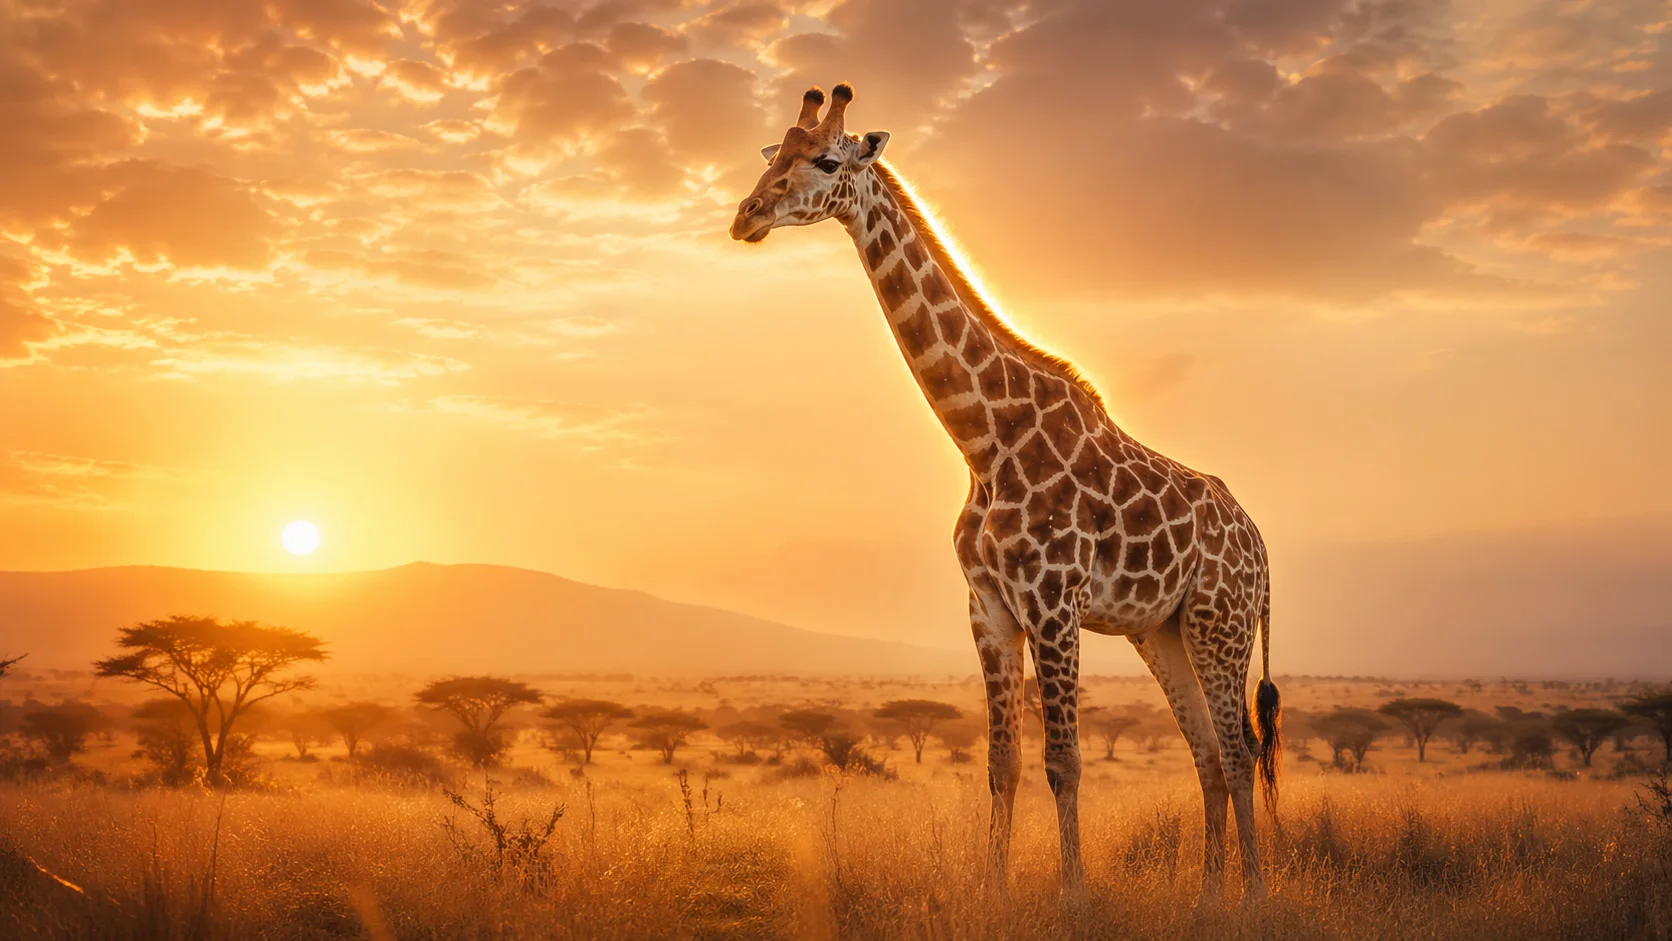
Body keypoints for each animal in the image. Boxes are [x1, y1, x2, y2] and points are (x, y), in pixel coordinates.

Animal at [729, 83, 1282, 904]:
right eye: (777, 154)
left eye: (826, 161)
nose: (747, 214)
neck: (983, 438)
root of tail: (1262, 549)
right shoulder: (987, 606)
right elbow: (1003, 765)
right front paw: (994, 889)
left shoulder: (1052, 601)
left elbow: (1065, 761)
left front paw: (1074, 894)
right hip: (1164, 630)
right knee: (1210, 754)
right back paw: (1208, 897)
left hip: (1223, 621)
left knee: (1241, 750)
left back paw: (1250, 895)